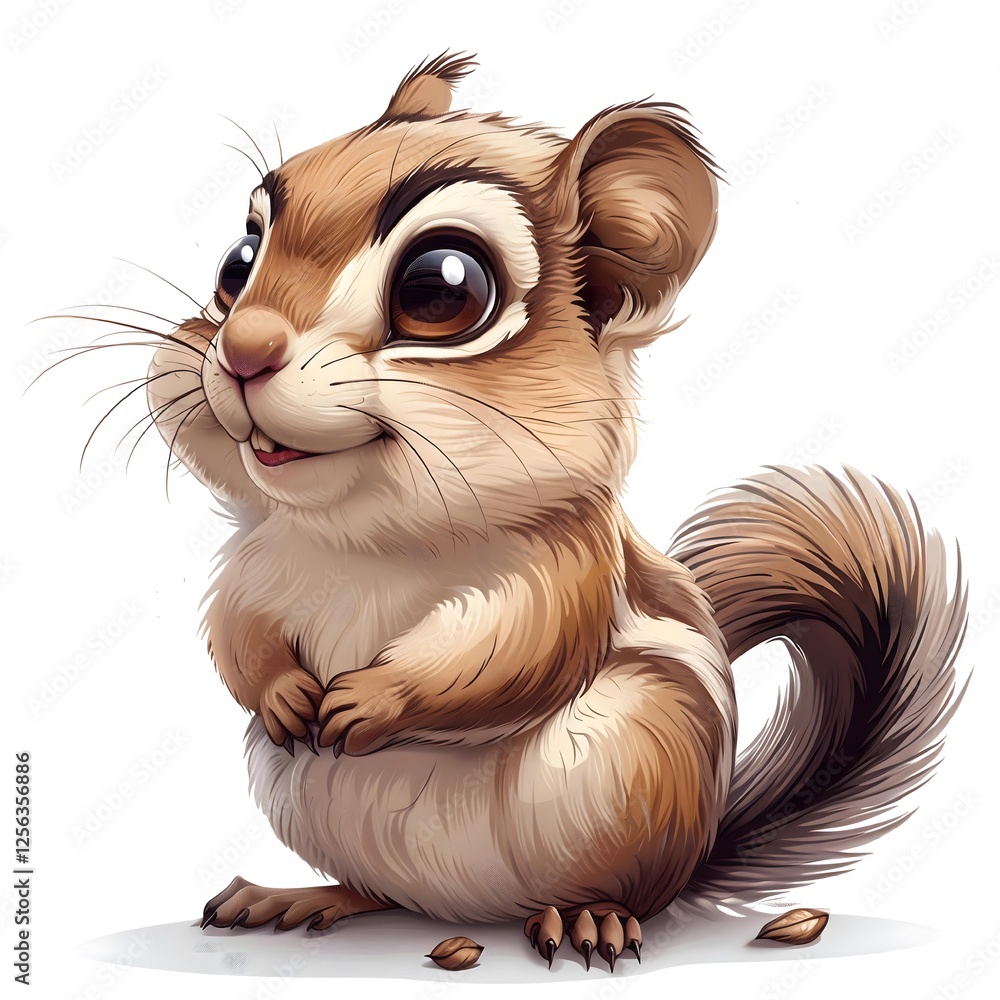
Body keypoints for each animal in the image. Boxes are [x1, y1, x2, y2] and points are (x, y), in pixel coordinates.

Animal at [136, 53, 966, 970]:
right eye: (237, 260)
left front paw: (372, 699)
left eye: (441, 288)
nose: (243, 351)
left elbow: (514, 652)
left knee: (619, 893)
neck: (368, 536)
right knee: (380, 892)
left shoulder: (564, 574)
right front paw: (285, 694)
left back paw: (588, 917)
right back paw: (297, 897)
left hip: (641, 757)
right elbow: (237, 640)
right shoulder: (252, 569)